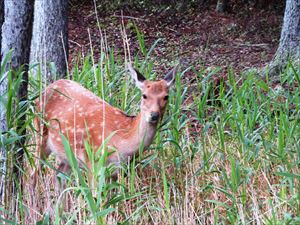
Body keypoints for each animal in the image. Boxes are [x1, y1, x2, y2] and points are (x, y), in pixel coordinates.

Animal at [32, 63, 178, 183]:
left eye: (166, 96)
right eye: (144, 95)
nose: (154, 115)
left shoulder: (115, 172)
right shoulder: (92, 162)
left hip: (67, 155)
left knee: (58, 177)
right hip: (40, 133)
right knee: (35, 173)